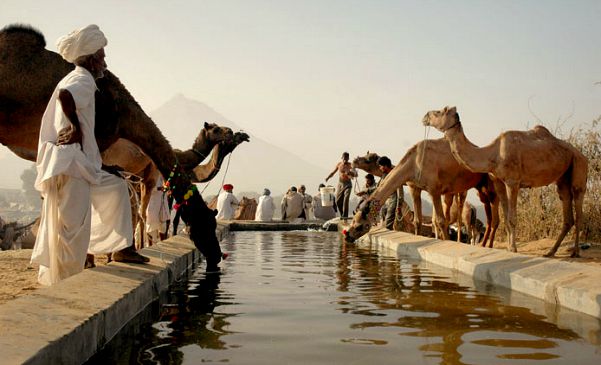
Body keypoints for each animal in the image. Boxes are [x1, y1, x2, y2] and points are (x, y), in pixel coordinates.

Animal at [344, 138, 500, 243]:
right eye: (353, 221)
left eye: (359, 226)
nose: (347, 236)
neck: (413, 163)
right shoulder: (415, 188)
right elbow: (418, 221)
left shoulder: (434, 189)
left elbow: (440, 220)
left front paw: (444, 240)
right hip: (477, 186)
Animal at [422, 105, 584, 256]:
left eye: (439, 111)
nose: (425, 117)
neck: (493, 154)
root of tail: (577, 151)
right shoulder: (499, 182)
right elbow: (506, 218)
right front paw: (508, 247)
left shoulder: (513, 182)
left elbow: (512, 218)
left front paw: (513, 248)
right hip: (563, 177)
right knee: (567, 208)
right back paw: (551, 252)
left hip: (579, 164)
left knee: (578, 202)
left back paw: (575, 251)